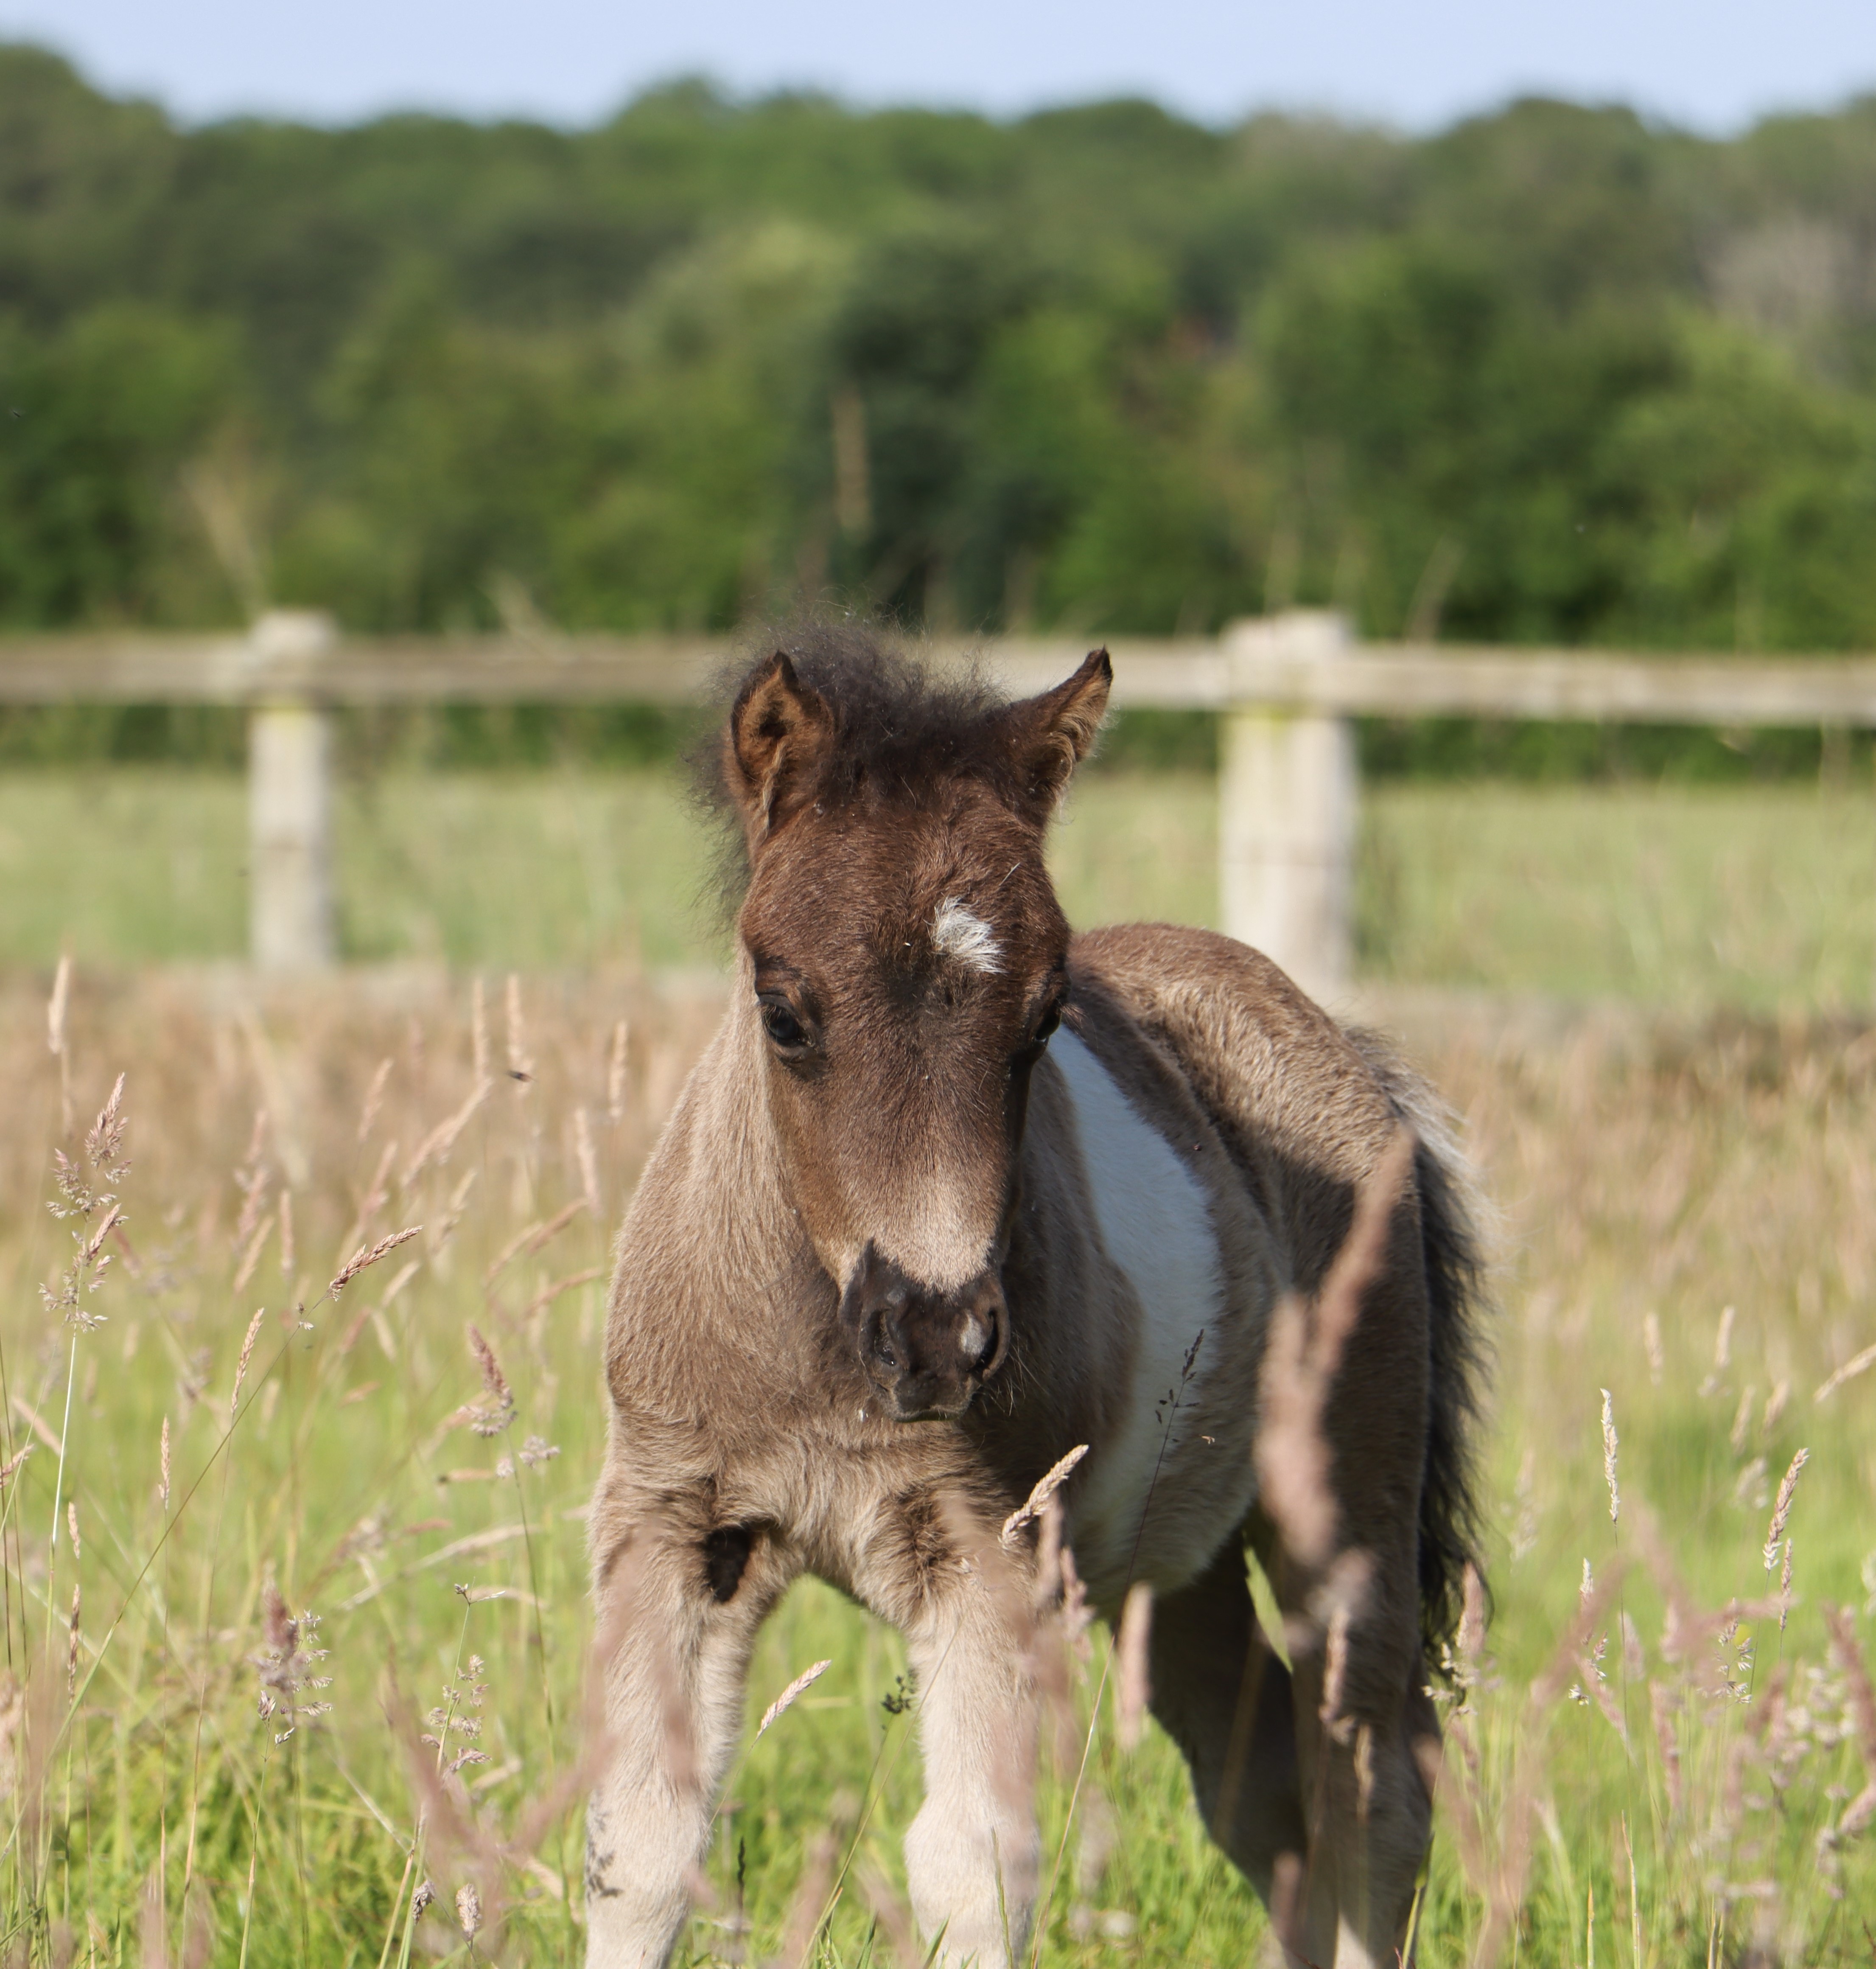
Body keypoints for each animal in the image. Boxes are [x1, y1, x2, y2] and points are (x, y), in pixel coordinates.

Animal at [579, 630, 1488, 1969]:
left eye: (1047, 1016)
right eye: (782, 1010)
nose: (936, 1337)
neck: (819, 1356)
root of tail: (1345, 1051)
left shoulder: (988, 1553)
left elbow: (970, 1868)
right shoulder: (677, 1527)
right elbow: (642, 1846)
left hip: (1343, 1509)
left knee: (1371, 1792)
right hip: (1171, 1572)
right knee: (1264, 1783)